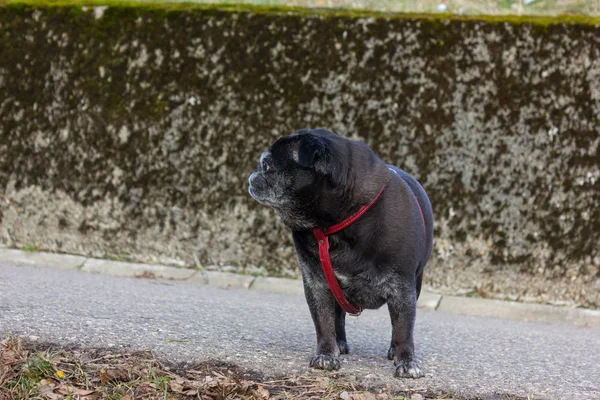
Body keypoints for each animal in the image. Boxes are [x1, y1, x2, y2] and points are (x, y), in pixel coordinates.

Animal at [246, 128, 434, 378]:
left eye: (266, 165)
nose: (251, 177)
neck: (337, 224)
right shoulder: (317, 284)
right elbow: (324, 322)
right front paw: (326, 354)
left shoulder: (402, 288)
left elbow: (404, 328)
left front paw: (406, 360)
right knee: (338, 318)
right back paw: (339, 343)